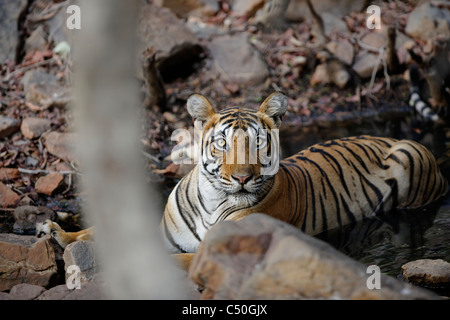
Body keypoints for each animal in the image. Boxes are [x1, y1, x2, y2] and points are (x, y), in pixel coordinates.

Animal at [160, 91, 448, 256]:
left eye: (258, 143)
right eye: (222, 143)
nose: (242, 178)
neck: (212, 202)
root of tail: (391, 138)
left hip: (409, 155)